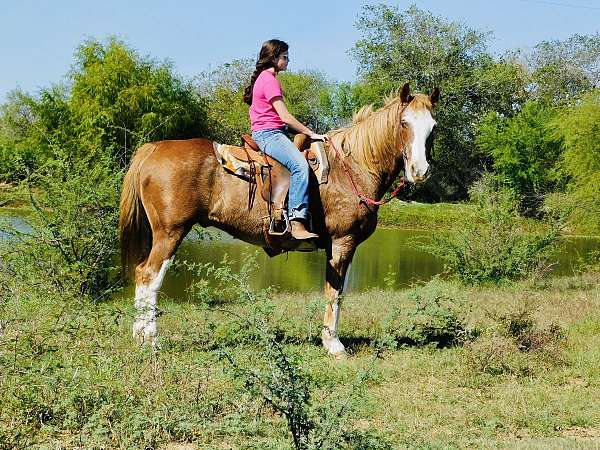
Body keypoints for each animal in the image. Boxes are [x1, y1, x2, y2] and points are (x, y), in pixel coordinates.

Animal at [120, 81, 440, 356]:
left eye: (433, 128)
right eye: (404, 123)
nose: (420, 170)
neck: (352, 168)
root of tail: (154, 148)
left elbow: (338, 292)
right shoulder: (342, 242)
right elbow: (334, 292)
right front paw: (333, 345)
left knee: (142, 273)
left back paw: (139, 336)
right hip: (171, 232)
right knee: (149, 276)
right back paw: (151, 340)